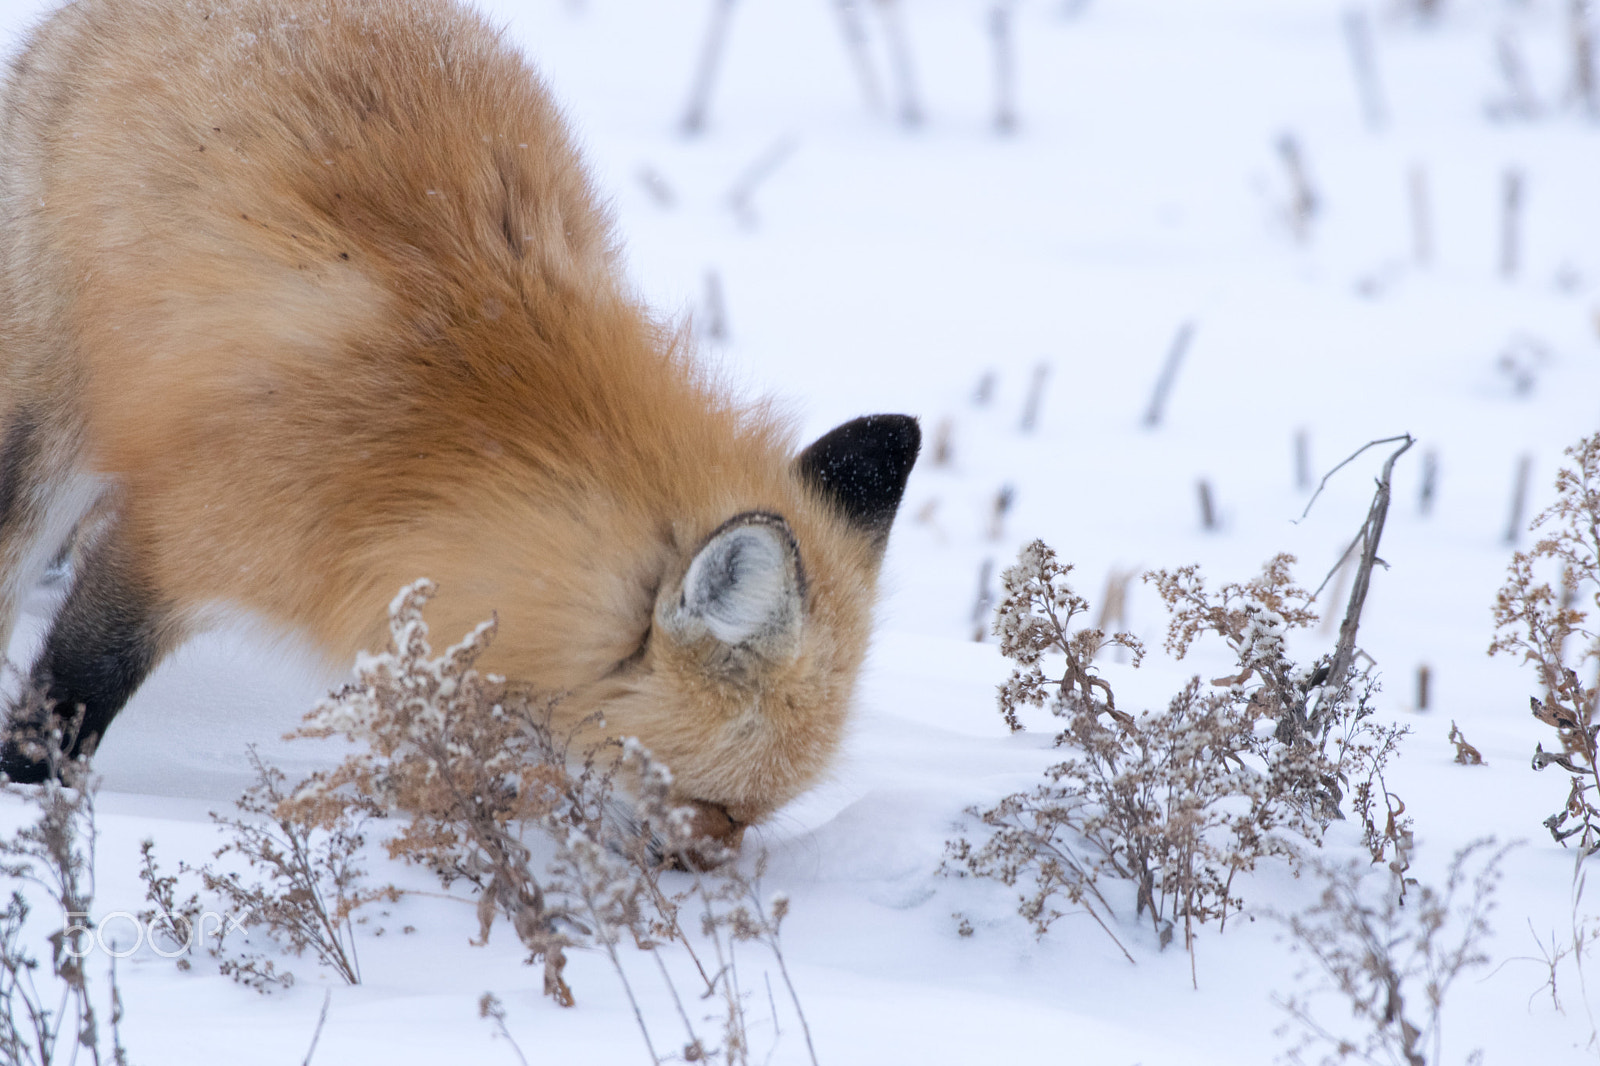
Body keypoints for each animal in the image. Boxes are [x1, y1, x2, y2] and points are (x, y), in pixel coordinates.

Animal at [0, 0, 919, 850]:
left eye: (748, 816)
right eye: (713, 805)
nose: (708, 881)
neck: (462, 448)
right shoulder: (178, 541)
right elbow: (76, 692)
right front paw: (29, 796)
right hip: (50, 433)